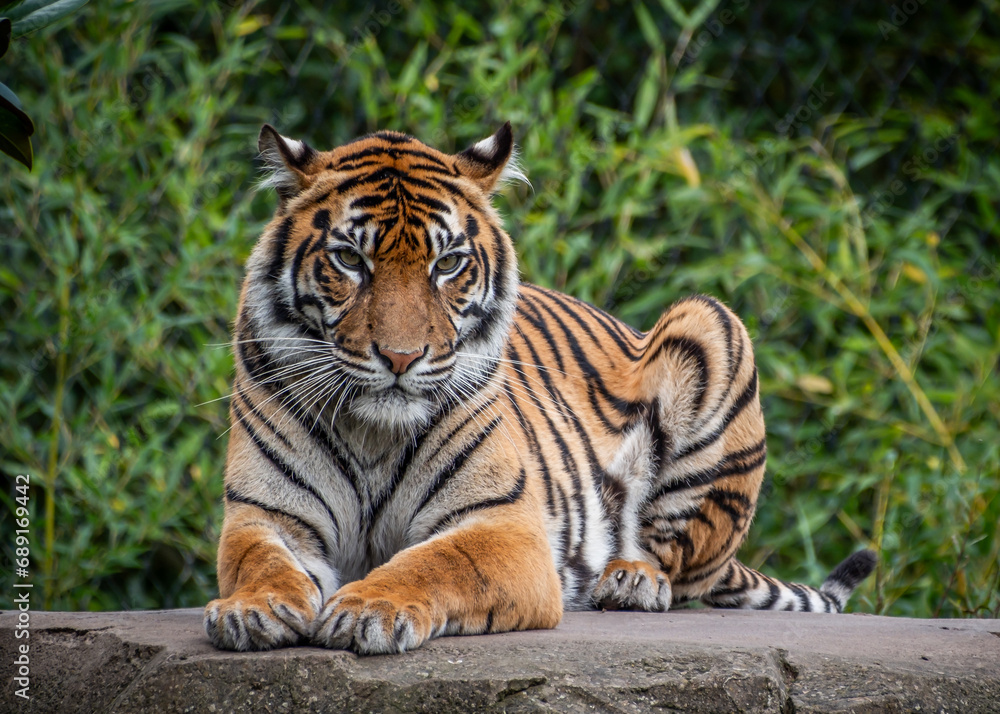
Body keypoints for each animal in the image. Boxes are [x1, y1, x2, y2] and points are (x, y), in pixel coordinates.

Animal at [203, 121, 876, 655]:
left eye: (447, 264)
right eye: (349, 260)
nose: (400, 357)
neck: (374, 433)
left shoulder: (504, 526)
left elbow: (432, 562)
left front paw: (370, 607)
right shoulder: (262, 515)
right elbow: (257, 562)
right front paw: (250, 610)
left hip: (711, 321)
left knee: (678, 566)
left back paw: (631, 580)